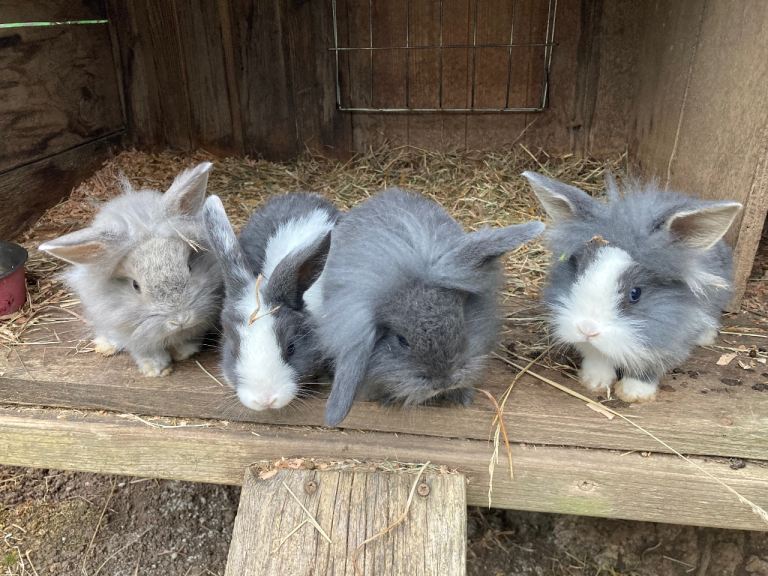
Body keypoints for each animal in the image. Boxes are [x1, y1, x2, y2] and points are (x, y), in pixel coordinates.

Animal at [39, 162, 223, 377]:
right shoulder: (127, 328)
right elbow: (144, 351)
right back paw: (105, 346)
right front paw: (156, 370)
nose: (181, 319)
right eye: (135, 285)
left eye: (189, 266)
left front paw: (184, 353)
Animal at [523, 171, 742, 403]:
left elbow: (648, 367)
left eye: (635, 294)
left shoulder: (667, 339)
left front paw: (633, 393)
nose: (587, 329)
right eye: (578, 275)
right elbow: (598, 357)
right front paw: (594, 382)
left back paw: (705, 338)